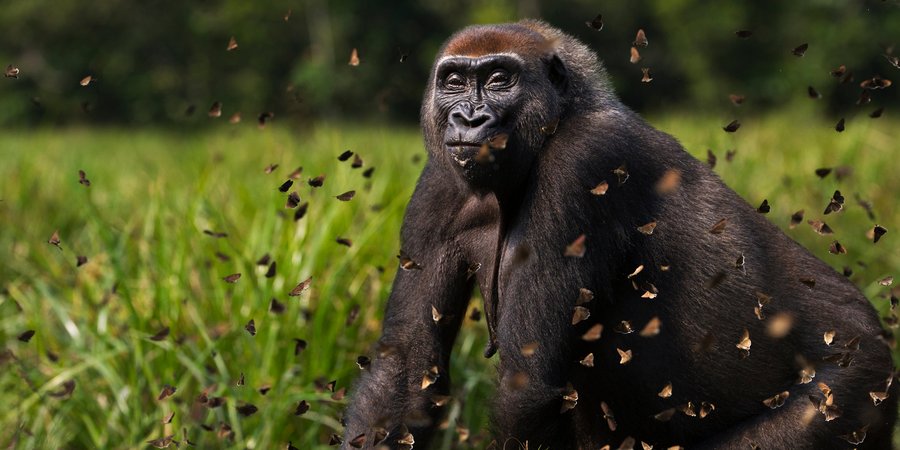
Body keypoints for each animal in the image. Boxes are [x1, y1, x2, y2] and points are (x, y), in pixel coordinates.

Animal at [341, 20, 896, 449]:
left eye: (499, 79)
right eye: (454, 82)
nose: (468, 118)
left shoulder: (583, 163)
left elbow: (527, 388)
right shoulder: (438, 183)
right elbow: (407, 369)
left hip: (855, 387)